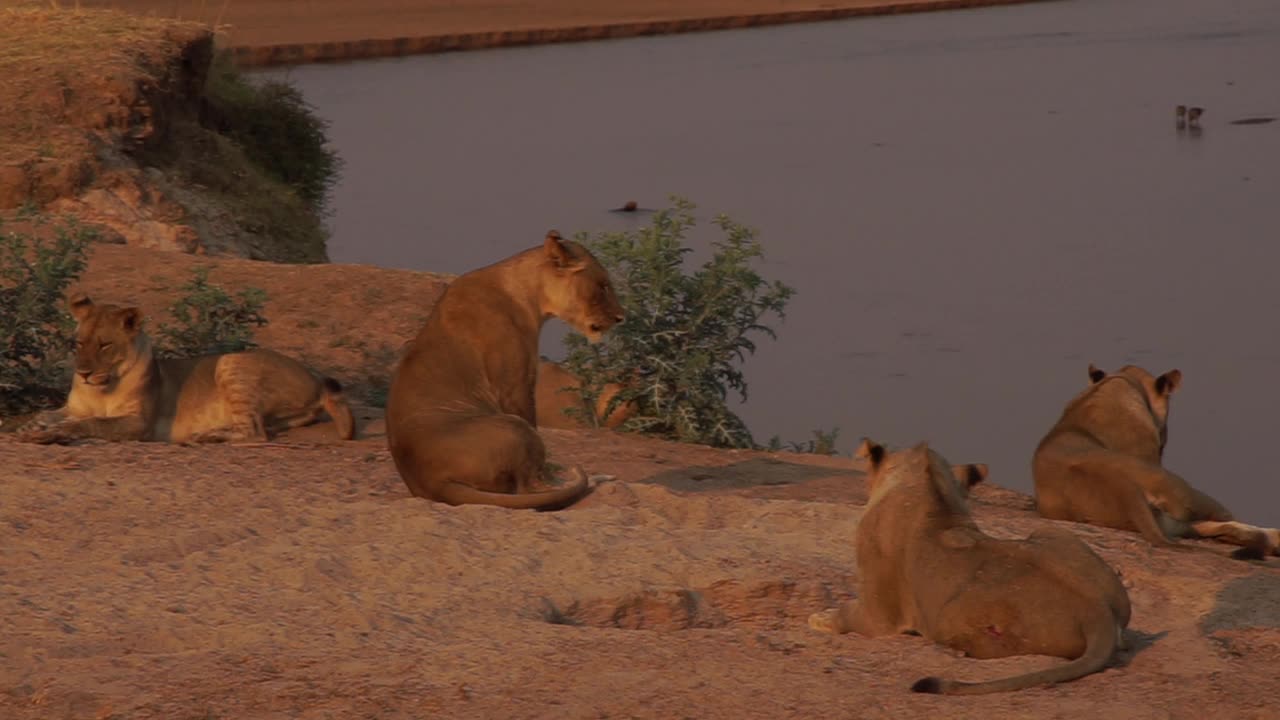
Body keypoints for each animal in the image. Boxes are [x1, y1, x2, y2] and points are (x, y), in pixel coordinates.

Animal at [16, 293, 355, 443]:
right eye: (79, 343)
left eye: (105, 345)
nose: (83, 373)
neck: (102, 386)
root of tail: (315, 377)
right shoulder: (73, 407)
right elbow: (51, 414)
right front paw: (34, 425)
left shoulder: (139, 422)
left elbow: (92, 423)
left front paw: (52, 434)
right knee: (260, 427)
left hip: (230, 361)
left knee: (255, 433)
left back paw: (206, 437)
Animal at [384, 233, 624, 507]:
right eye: (602, 285)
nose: (621, 317)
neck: (528, 296)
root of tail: (433, 481)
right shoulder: (515, 386)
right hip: (513, 427)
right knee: (528, 487)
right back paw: (592, 478)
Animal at [808, 438, 1131, 691]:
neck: (928, 485)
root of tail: (1097, 610)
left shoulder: (879, 617)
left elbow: (847, 616)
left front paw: (819, 618)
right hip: (1050, 531)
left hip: (953, 621)